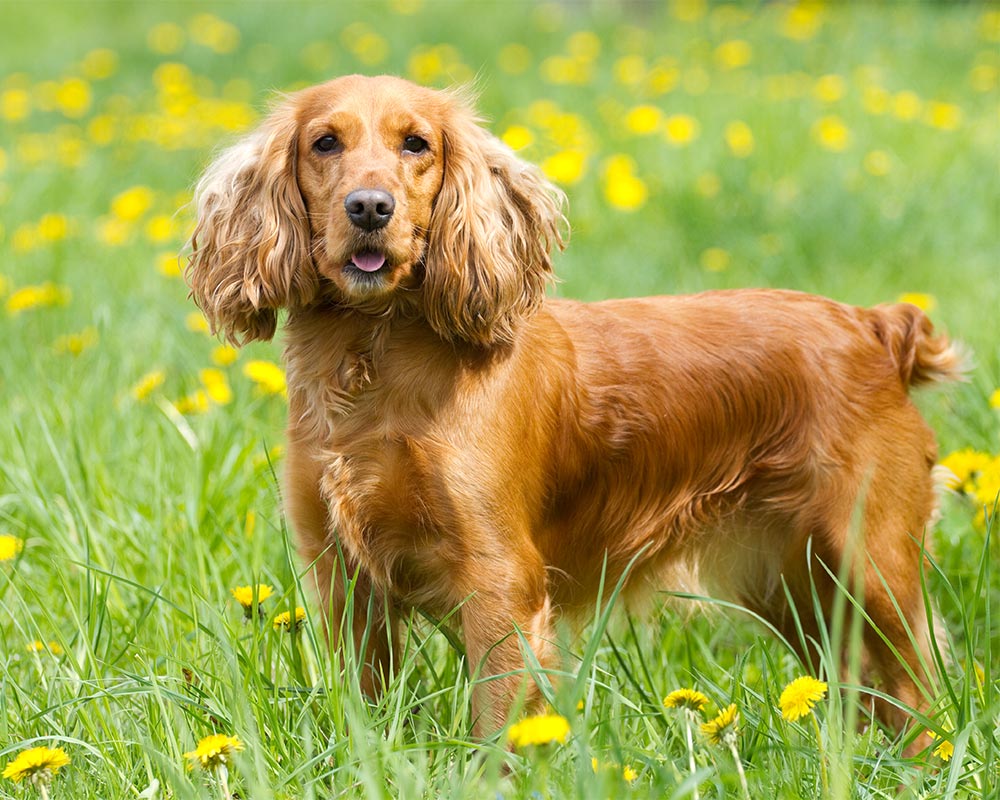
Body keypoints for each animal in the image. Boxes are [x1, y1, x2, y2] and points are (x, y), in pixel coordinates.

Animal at [188, 73, 960, 736]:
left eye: (416, 144)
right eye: (325, 142)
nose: (370, 207)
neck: (373, 362)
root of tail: (875, 326)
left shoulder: (500, 582)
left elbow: (497, 728)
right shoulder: (342, 577)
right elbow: (366, 713)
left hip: (871, 563)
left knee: (921, 693)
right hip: (797, 587)